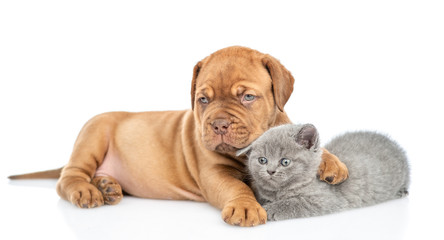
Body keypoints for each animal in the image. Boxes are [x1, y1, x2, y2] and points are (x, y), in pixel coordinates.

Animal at [8, 46, 348, 227]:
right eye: (203, 99)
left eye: (248, 97)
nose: (219, 124)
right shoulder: (213, 173)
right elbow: (235, 186)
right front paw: (245, 206)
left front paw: (333, 163)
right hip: (93, 134)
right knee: (68, 177)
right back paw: (88, 190)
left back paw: (107, 185)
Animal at [239, 124, 410, 221]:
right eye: (262, 160)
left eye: (285, 162)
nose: (270, 171)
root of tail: (390, 141)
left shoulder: (326, 200)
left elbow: (295, 203)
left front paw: (270, 210)